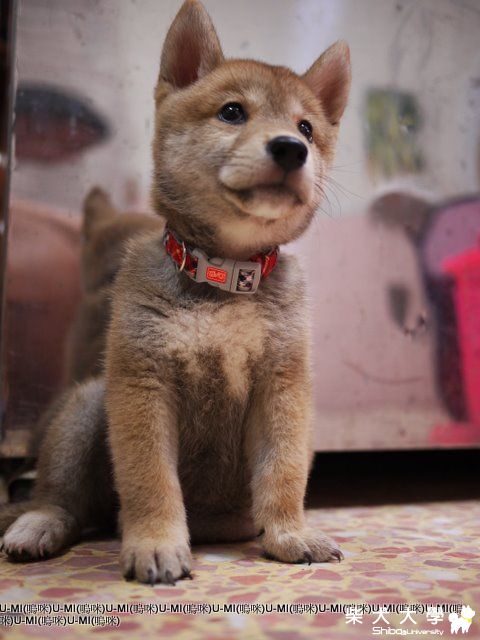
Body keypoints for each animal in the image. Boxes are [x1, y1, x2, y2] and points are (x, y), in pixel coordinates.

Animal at [0, 0, 351, 584]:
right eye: (232, 112)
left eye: (305, 126)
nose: (291, 147)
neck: (226, 276)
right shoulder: (144, 384)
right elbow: (150, 480)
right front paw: (157, 543)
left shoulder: (282, 388)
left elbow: (282, 475)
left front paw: (290, 534)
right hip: (86, 407)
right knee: (60, 498)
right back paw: (37, 526)